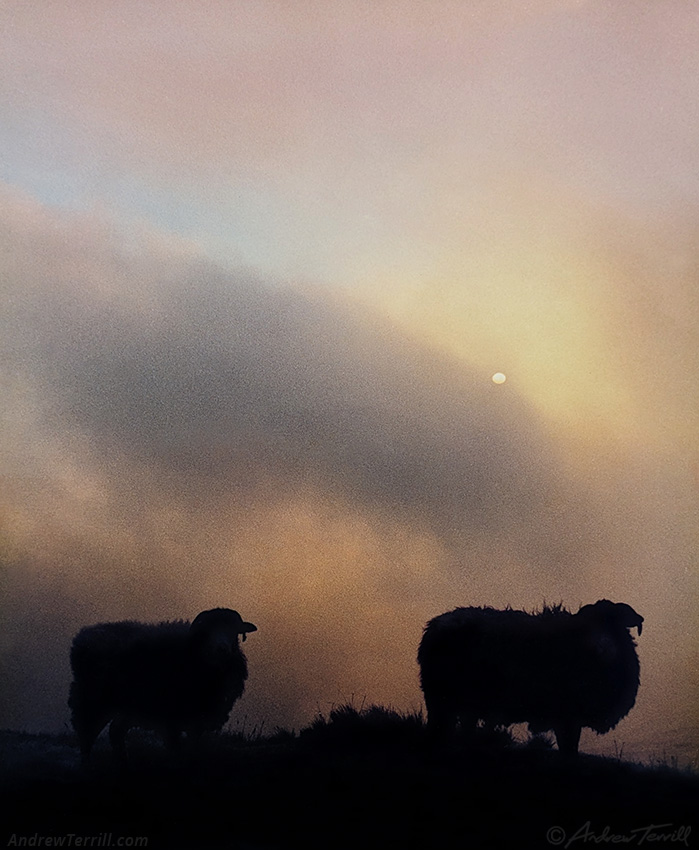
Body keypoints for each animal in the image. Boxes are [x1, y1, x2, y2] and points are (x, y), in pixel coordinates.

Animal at [69, 608, 258, 760]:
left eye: (234, 630)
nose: (222, 648)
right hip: (92, 699)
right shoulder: (170, 716)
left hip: (128, 706)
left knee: (115, 732)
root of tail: (83, 636)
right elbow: (175, 748)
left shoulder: (198, 718)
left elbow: (192, 746)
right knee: (87, 735)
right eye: (207, 631)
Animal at [418, 600, 644, 752]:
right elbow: (569, 752)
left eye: (615, 620)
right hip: (439, 699)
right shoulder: (567, 717)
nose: (601, 645)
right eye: (587, 623)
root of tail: (435, 625)